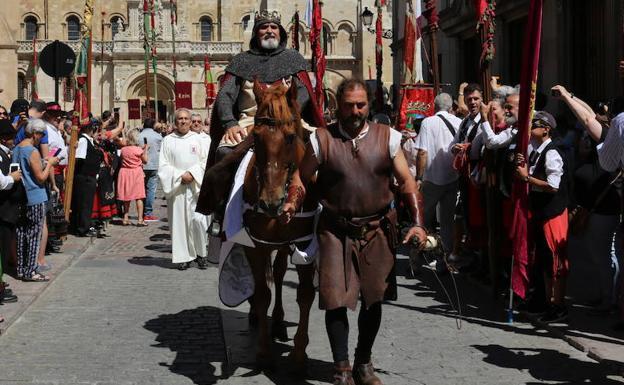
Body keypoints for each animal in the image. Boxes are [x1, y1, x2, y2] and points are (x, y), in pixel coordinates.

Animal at [243, 79, 316, 370]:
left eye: (290, 136)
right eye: (256, 136)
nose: (270, 203)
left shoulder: (305, 244)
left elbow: (305, 294)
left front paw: (299, 354)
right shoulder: (254, 243)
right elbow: (263, 292)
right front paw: (263, 350)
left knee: (280, 271)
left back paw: (279, 321)